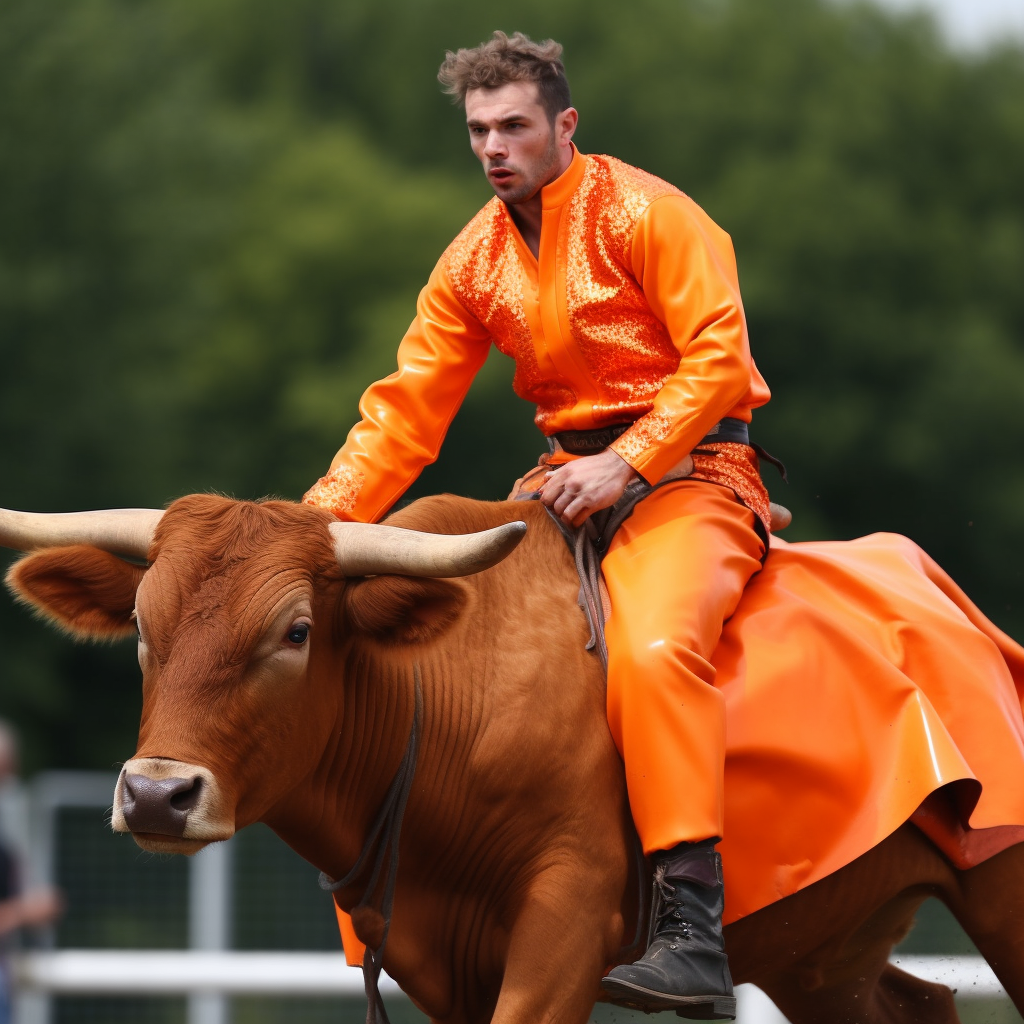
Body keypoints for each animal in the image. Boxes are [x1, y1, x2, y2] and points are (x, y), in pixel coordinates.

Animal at [2, 491, 1024, 1019]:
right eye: (143, 626)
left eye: (295, 630)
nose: (157, 796)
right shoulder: (435, 959)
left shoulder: (564, 924)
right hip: (822, 951)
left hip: (998, 890)